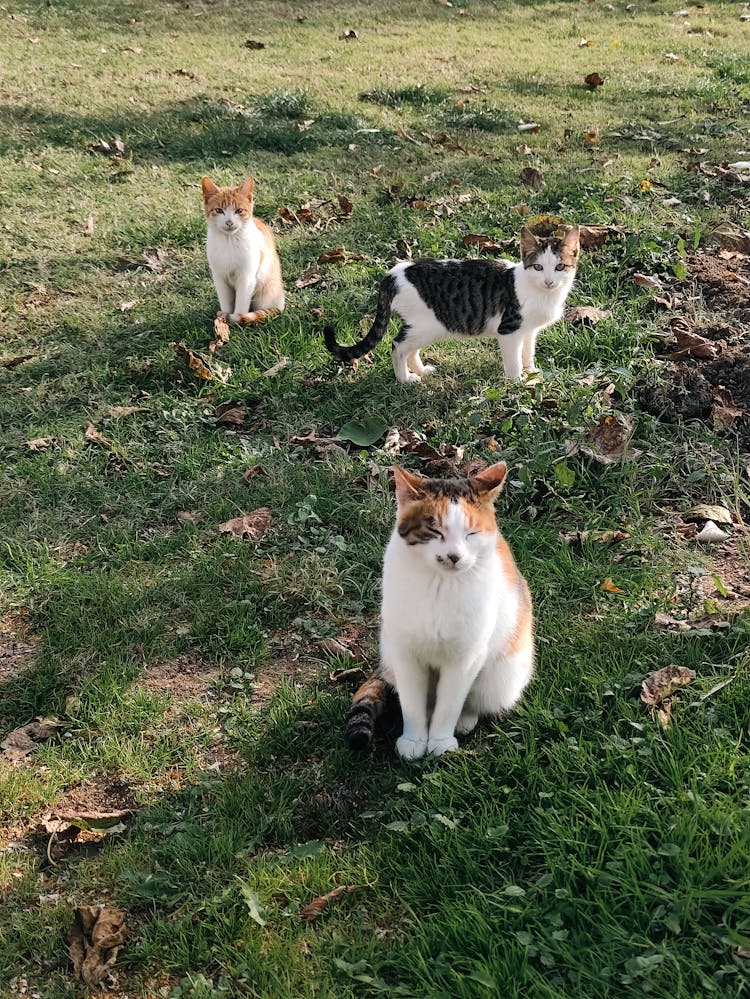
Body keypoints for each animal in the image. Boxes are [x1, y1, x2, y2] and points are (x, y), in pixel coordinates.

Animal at [201, 175, 286, 324]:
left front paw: (235, 319)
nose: (229, 222)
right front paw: (224, 320)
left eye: (239, 211)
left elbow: (241, 304)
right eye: (219, 210)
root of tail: (281, 301)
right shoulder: (219, 277)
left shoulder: (246, 278)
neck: (229, 242)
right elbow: (225, 302)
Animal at [324, 227, 580, 382]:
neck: (541, 293)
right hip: (428, 325)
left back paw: (421, 370)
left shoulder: (529, 331)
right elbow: (514, 360)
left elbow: (528, 352)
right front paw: (517, 381)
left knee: (409, 349)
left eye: (560, 267)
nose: (549, 281)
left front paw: (532, 373)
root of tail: (392, 274)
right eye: (538, 267)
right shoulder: (509, 330)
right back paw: (405, 379)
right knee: (397, 346)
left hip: (427, 326)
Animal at [346, 460, 536, 756]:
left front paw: (440, 741)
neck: (440, 585)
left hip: (501, 674)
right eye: (435, 531)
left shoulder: (465, 658)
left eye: (471, 534)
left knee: (474, 700)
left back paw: (465, 720)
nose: (454, 556)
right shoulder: (405, 653)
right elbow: (412, 703)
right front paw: (414, 740)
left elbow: (450, 704)